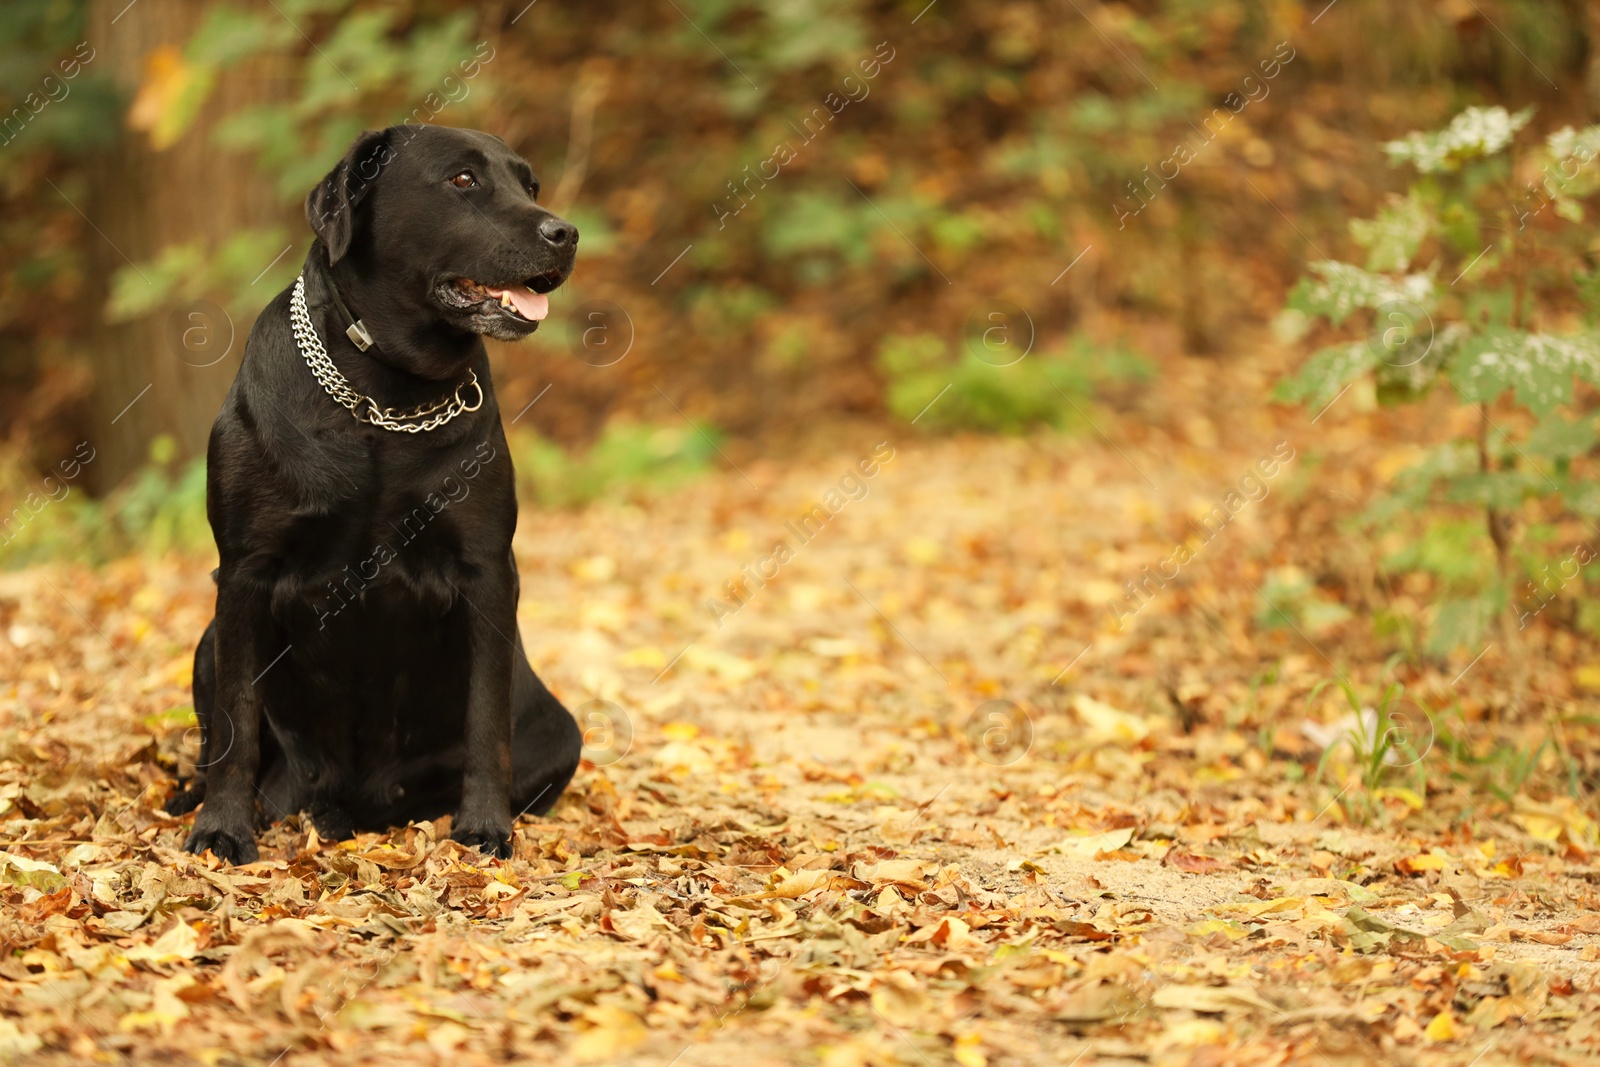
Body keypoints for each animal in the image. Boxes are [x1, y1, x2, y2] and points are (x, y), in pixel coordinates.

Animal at [167, 125, 582, 863]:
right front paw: (221, 828)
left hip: (561, 730)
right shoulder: (244, 570)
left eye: (529, 184)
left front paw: (485, 826)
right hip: (209, 640)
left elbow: (486, 720)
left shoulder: (486, 568)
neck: (385, 395)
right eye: (464, 180)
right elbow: (236, 723)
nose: (565, 232)